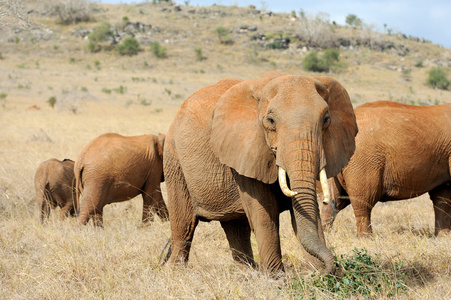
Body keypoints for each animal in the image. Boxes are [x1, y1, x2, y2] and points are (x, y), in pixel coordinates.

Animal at [164, 72, 358, 274]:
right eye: (271, 121)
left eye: (326, 119)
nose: (327, 268)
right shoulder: (246, 149)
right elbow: (264, 212)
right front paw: (277, 278)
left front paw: (320, 275)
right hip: (174, 159)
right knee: (184, 224)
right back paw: (176, 272)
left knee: (236, 226)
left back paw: (246, 273)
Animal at [322, 101, 451, 237]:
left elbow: (442, 196)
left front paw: (443, 237)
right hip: (363, 161)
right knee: (363, 200)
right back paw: (366, 238)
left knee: (334, 200)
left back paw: (326, 234)